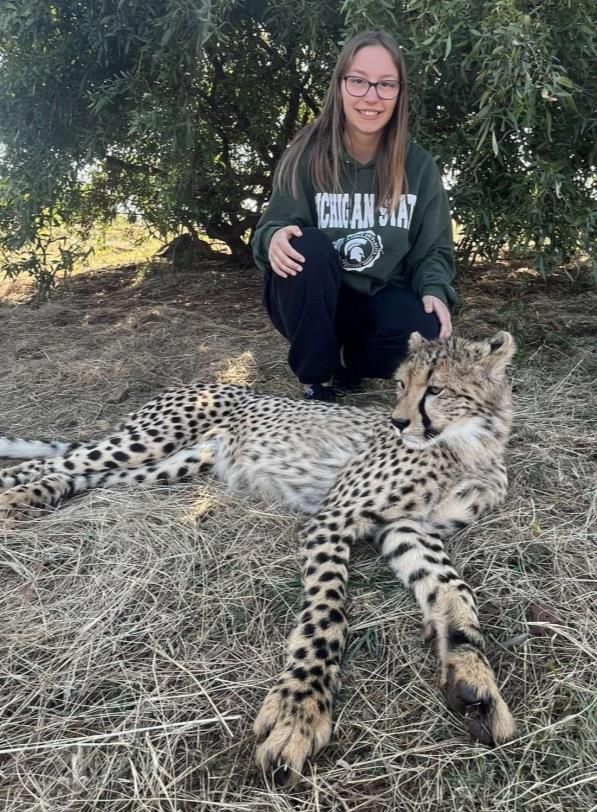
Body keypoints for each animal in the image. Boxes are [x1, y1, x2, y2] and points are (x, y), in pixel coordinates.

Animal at [0, 332, 516, 788]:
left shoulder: (406, 529)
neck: (465, 446)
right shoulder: (334, 517)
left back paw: (32, 497)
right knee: (56, 461)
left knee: (82, 475)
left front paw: (474, 681)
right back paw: (13, 495)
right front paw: (298, 712)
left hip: (172, 465)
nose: (397, 422)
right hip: (149, 440)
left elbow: (453, 589)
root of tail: (214, 383)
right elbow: (326, 616)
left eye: (435, 388)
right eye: (400, 384)